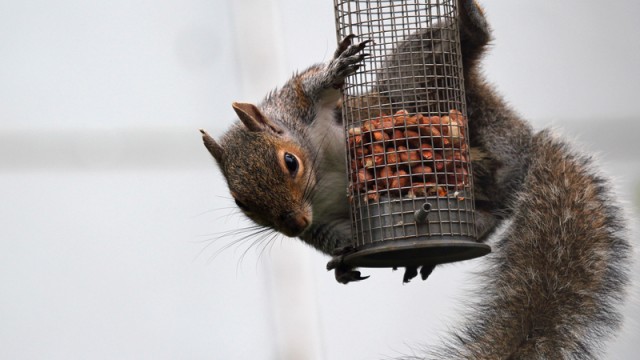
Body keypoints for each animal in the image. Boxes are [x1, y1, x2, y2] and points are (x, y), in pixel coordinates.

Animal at [200, 1, 632, 358]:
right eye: (241, 203)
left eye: (290, 162)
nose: (292, 224)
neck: (319, 171)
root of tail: (526, 150)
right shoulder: (319, 218)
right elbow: (328, 236)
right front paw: (343, 255)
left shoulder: (302, 105)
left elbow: (316, 85)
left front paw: (338, 67)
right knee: (492, 212)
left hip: (418, 82)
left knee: (453, 49)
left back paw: (469, 22)